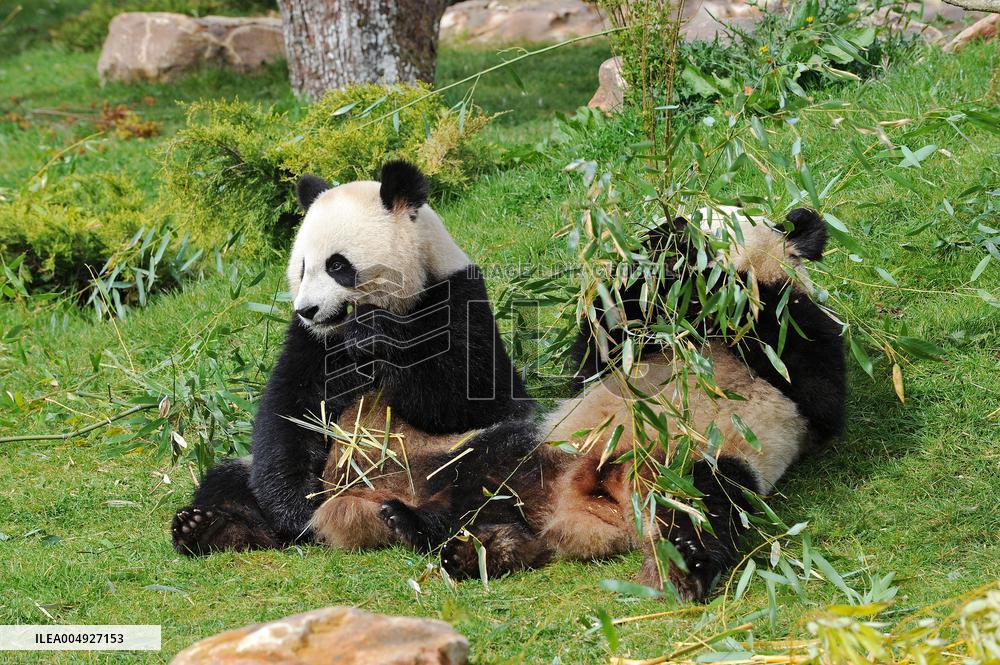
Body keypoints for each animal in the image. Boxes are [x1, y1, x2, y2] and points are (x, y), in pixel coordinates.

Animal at [170, 161, 535, 555]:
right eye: (302, 267)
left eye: (336, 265)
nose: (308, 310)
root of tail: (364, 504)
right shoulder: (312, 344)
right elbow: (291, 414)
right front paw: (296, 511)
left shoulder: (457, 299)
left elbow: (470, 395)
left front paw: (373, 333)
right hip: (252, 473)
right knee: (228, 478)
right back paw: (208, 529)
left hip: (453, 453)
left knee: (493, 466)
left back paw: (412, 522)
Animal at [373, 206, 846, 602]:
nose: (672, 226)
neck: (699, 319)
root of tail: (586, 505)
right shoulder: (636, 343)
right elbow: (600, 351)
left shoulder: (794, 332)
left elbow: (815, 388)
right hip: (545, 448)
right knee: (476, 478)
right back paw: (434, 533)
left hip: (706, 463)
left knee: (708, 507)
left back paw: (686, 565)